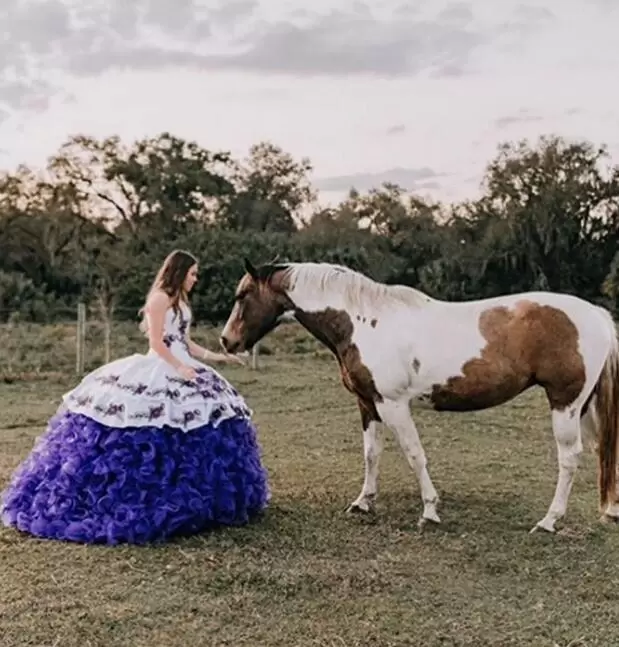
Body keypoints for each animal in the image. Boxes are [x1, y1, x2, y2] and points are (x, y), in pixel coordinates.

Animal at [219, 260, 619, 536]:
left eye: (243, 296)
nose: (227, 341)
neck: (362, 322)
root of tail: (597, 315)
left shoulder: (393, 405)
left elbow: (414, 454)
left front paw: (429, 510)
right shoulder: (368, 404)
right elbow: (371, 454)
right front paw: (363, 502)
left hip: (565, 404)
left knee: (569, 458)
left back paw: (549, 521)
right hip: (582, 407)